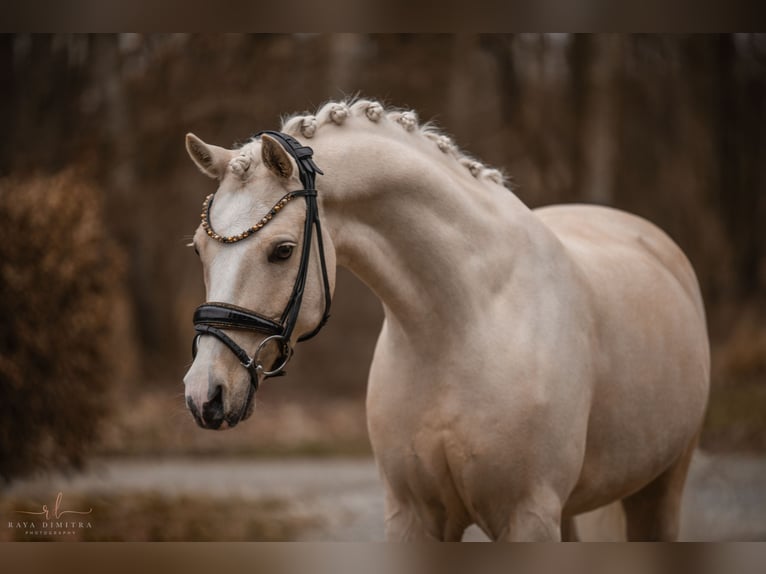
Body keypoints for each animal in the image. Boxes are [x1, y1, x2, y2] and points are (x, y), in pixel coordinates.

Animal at [183, 97, 712, 544]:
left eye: (282, 250)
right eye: (199, 249)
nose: (204, 395)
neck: (461, 324)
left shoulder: (528, 515)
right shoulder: (413, 516)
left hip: (661, 487)